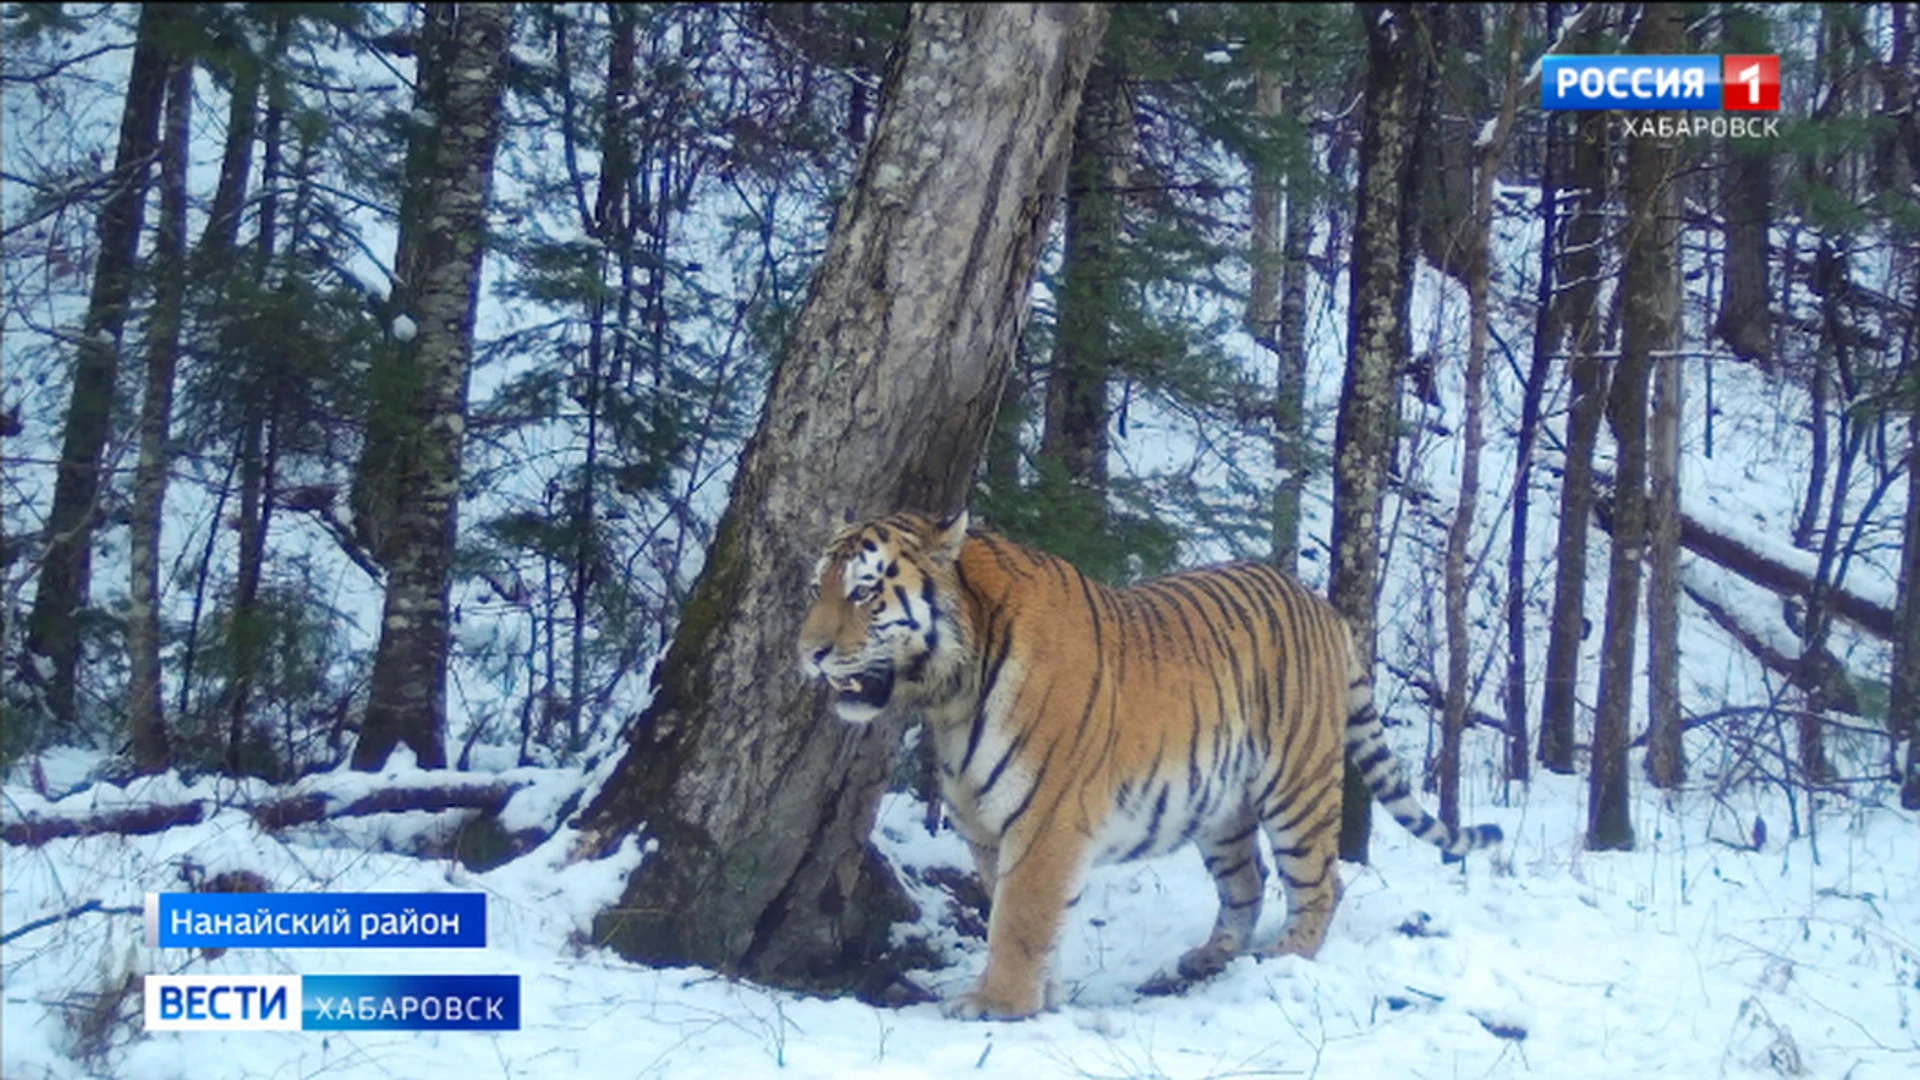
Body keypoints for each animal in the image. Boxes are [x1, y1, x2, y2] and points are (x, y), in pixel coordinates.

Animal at [791, 507, 1497, 1014]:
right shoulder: (986, 828)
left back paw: (1288, 954)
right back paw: (1211, 956)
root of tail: (1321, 604)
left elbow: (1018, 919)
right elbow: (1017, 913)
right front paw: (1038, 996)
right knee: (1246, 882)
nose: (808, 652)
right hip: (1221, 810)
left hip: (1296, 787)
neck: (950, 694)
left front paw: (999, 1005)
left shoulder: (1044, 822)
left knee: (1321, 880)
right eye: (816, 588)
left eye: (863, 592)